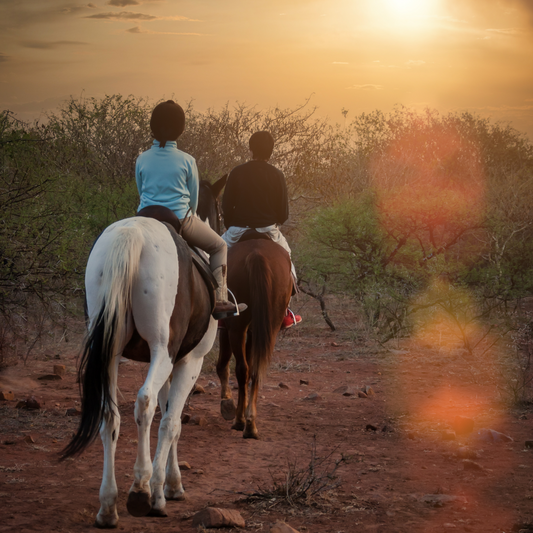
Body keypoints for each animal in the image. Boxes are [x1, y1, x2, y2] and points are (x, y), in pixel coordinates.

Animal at [215, 237, 290, 436]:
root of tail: (256, 255)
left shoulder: (226, 327)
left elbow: (222, 365)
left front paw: (227, 404)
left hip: (237, 327)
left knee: (242, 369)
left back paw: (241, 421)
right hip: (270, 325)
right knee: (255, 368)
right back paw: (251, 424)